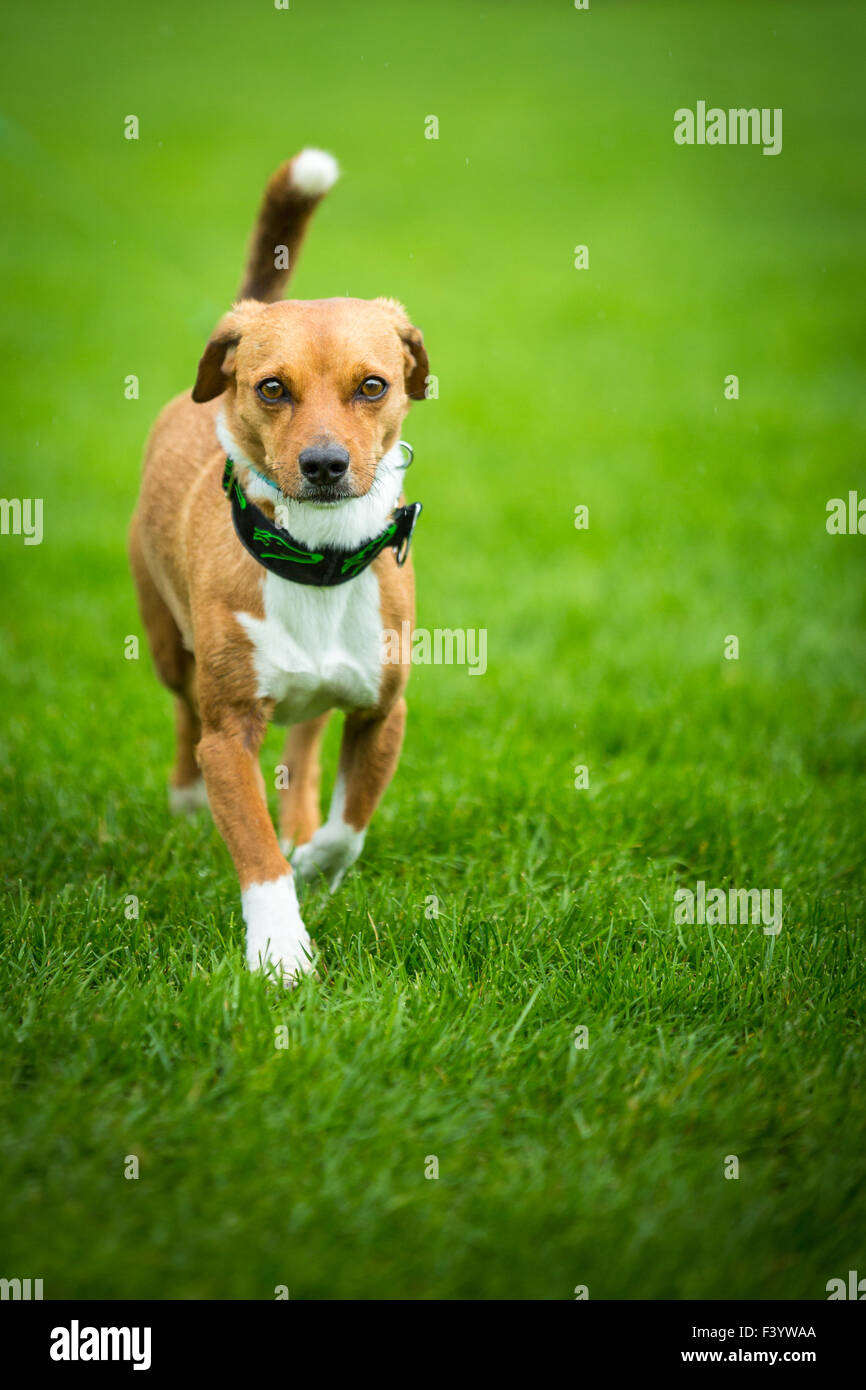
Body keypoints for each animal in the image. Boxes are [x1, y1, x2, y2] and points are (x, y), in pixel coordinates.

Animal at [127, 149, 428, 978]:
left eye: (373, 385)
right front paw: (280, 950)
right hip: (167, 643)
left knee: (306, 735)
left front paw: (315, 857)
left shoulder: (383, 708)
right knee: (182, 709)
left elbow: (350, 824)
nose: (324, 464)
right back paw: (187, 801)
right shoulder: (229, 731)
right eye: (271, 388)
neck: (316, 560)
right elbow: (257, 852)